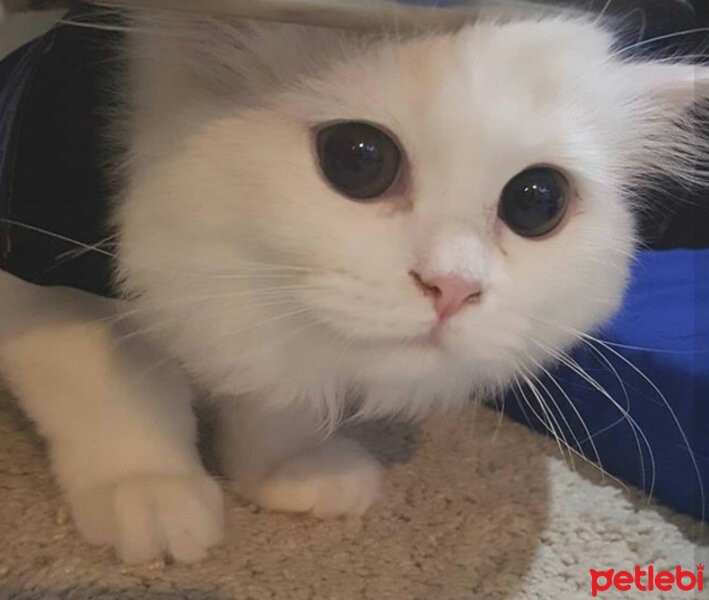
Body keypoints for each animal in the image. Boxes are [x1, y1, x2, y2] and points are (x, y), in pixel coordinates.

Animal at [1, 7, 708, 564]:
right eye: (359, 158)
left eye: (537, 201)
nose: (452, 287)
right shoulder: (49, 268)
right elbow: (112, 387)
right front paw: (153, 495)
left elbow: (276, 406)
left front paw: (288, 472)